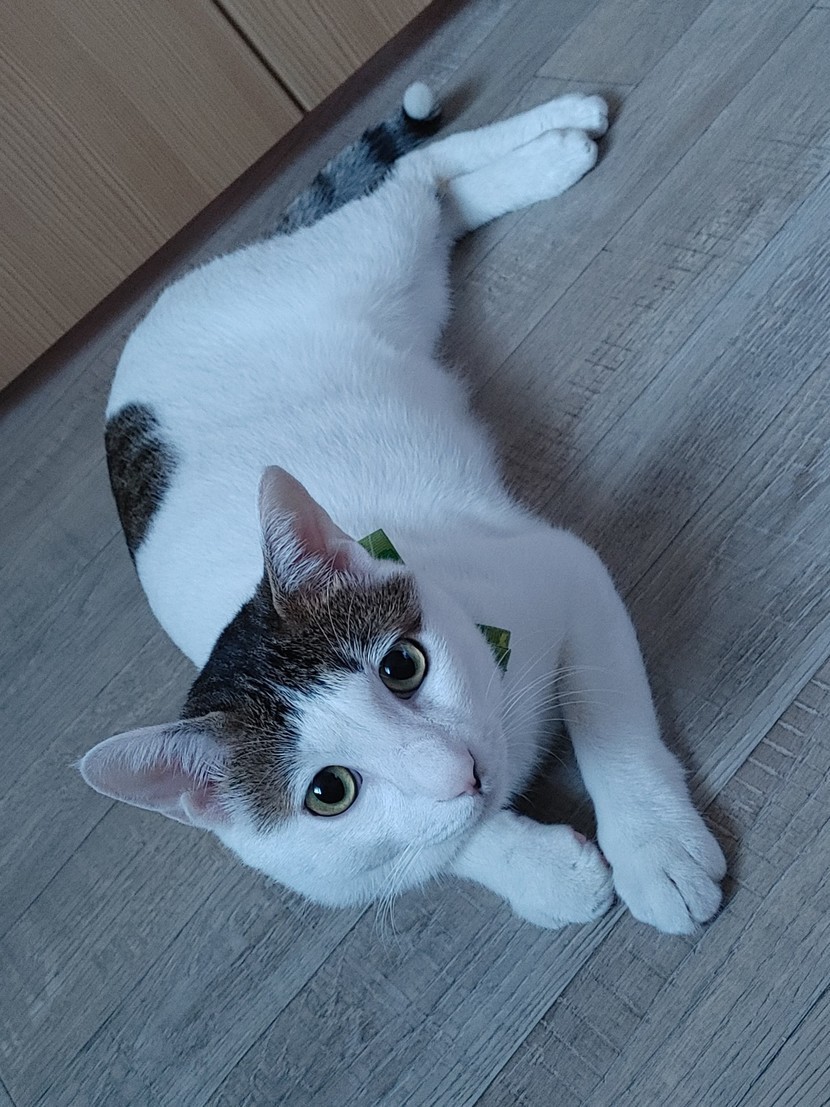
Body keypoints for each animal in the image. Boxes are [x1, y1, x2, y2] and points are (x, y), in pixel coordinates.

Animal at [80, 84, 726, 934]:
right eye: (329, 792)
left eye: (402, 666)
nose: (460, 770)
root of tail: (159, 307)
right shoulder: (325, 872)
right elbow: (448, 850)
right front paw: (542, 872)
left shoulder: (564, 569)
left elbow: (612, 725)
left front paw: (655, 849)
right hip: (407, 292)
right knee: (436, 205)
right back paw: (546, 154)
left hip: (365, 262)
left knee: (415, 177)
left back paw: (561, 138)